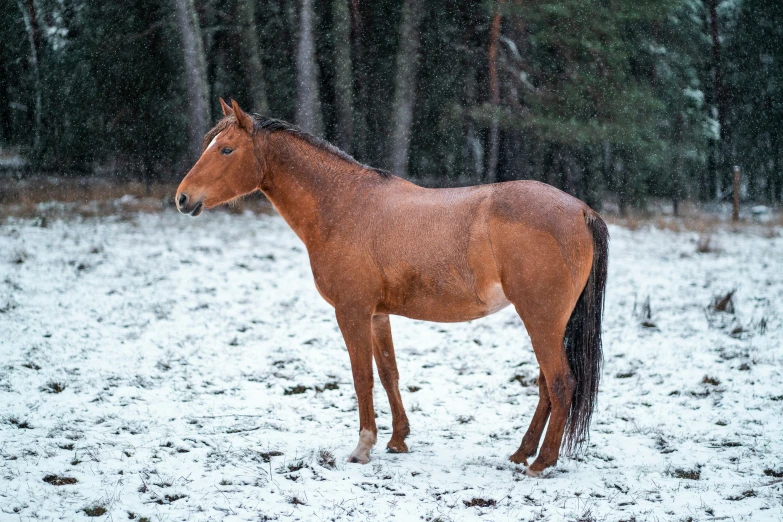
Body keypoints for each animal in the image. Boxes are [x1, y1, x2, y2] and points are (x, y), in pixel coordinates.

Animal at [179, 98, 612, 476]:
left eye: (227, 150)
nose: (183, 198)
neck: (344, 205)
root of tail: (581, 210)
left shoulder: (351, 312)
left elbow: (362, 377)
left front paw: (362, 447)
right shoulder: (377, 314)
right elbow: (389, 372)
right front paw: (397, 440)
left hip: (541, 320)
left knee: (560, 383)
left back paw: (542, 463)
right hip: (548, 323)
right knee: (546, 387)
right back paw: (522, 453)